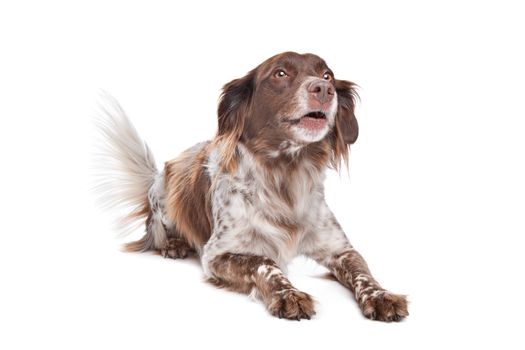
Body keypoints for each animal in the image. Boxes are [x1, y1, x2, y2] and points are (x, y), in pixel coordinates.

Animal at [94, 50, 408, 322]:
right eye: (280, 73)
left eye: (328, 75)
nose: (323, 89)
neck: (285, 176)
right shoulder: (217, 254)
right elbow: (264, 262)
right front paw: (288, 295)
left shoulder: (340, 248)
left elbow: (363, 272)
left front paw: (380, 296)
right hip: (165, 192)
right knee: (156, 230)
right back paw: (174, 244)